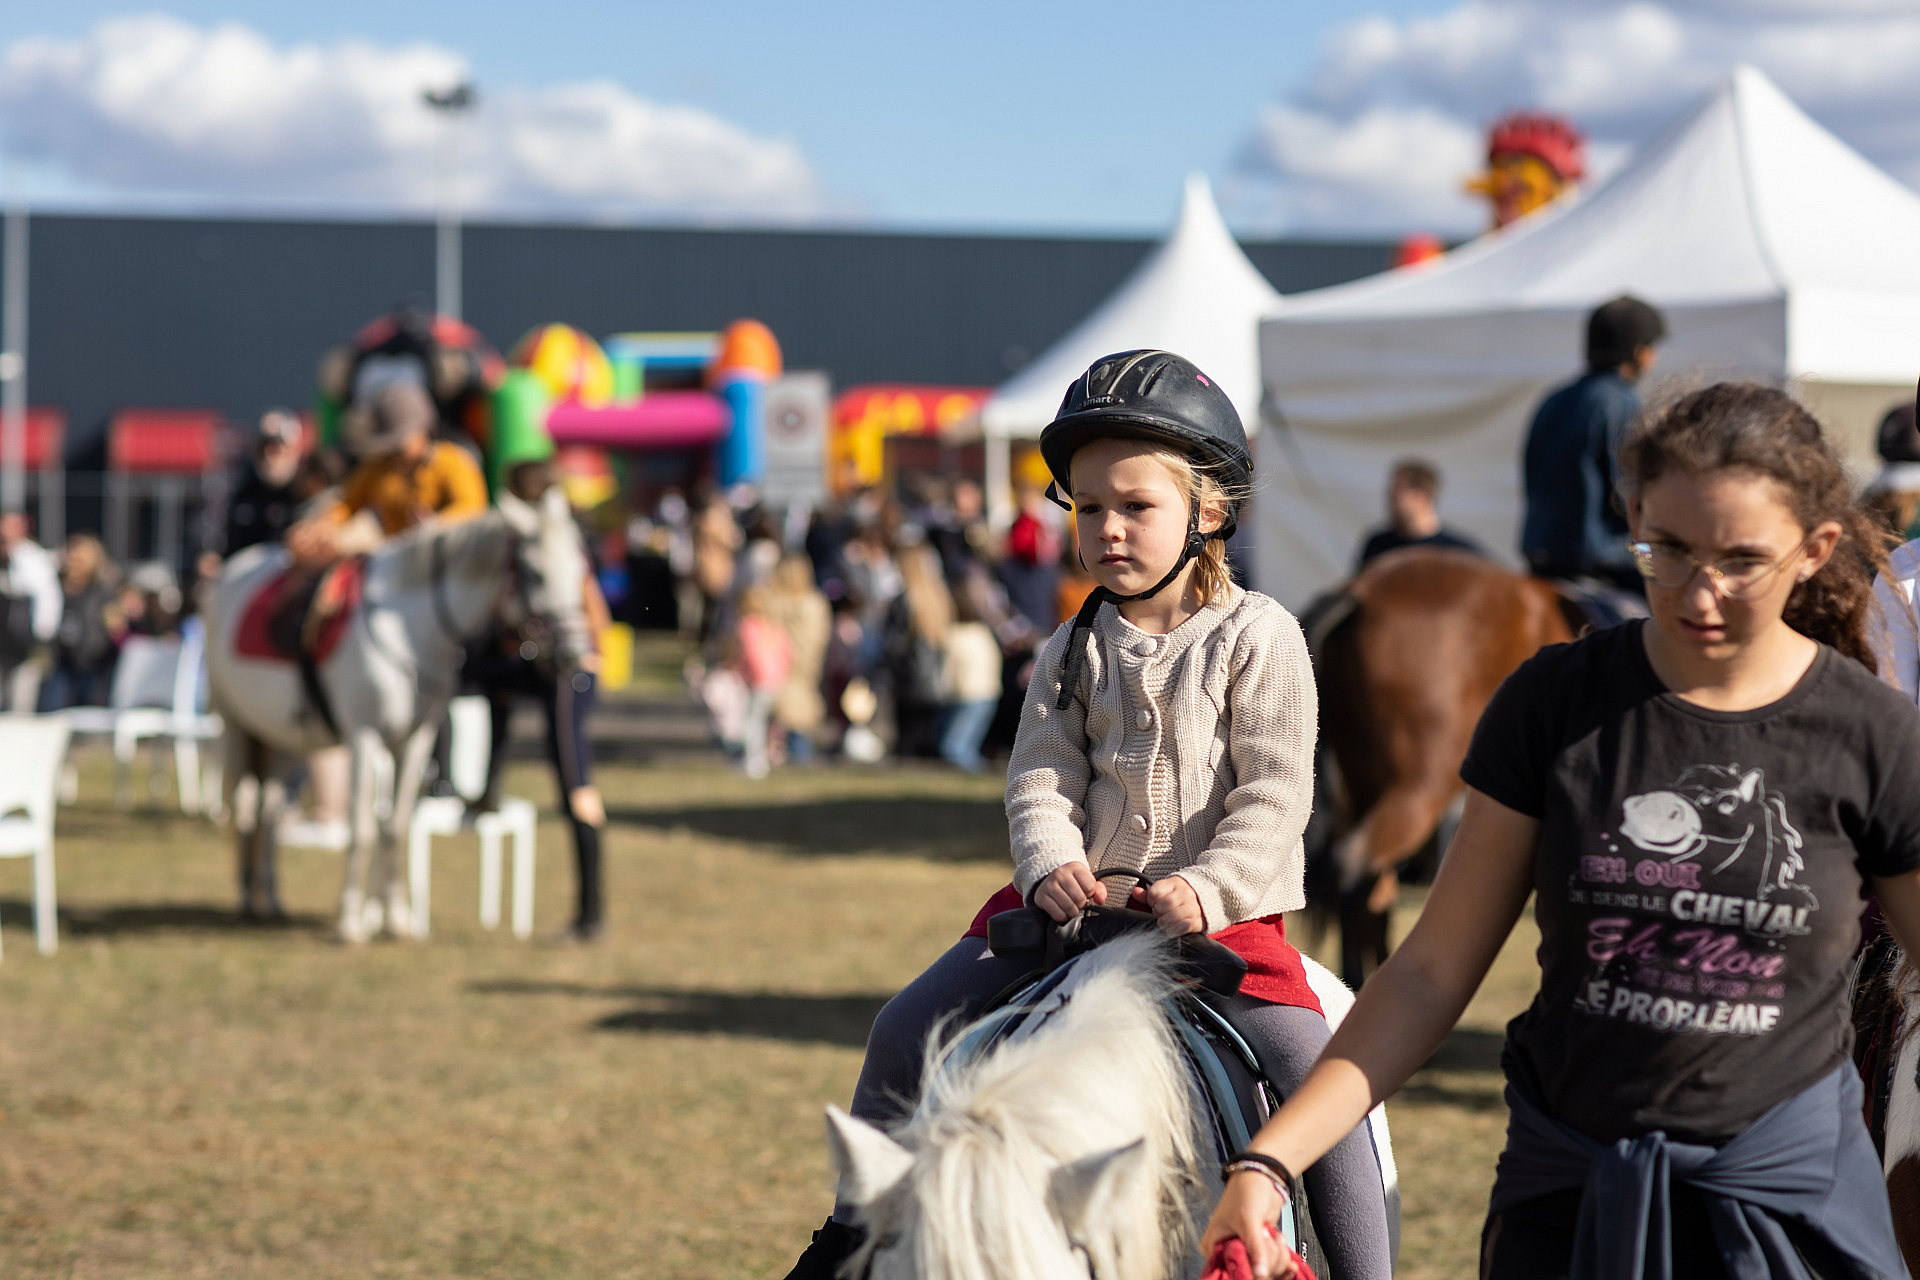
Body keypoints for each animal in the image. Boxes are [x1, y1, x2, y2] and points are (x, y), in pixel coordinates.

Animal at [203, 495, 587, 941]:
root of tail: (232, 570)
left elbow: (395, 826)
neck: (409, 630)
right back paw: (248, 899)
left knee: (269, 814)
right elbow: (362, 827)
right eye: (535, 574)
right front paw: (351, 920)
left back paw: (274, 900)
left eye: (579, 570)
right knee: (245, 808)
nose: (572, 654)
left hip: (282, 737)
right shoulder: (363, 737)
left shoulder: (415, 739)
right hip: (236, 726)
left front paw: (396, 919)